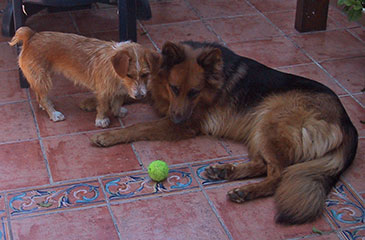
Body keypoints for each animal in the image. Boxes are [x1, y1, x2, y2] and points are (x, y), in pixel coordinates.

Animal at [9, 26, 159, 127]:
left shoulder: (120, 91)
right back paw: (54, 113)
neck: (117, 73)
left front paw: (117, 111)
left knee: (39, 94)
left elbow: (117, 103)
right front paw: (101, 120)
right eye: (129, 75)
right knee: (42, 96)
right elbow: (103, 106)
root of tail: (31, 35)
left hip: (41, 77)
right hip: (42, 77)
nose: (139, 96)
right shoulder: (103, 91)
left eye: (145, 74)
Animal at [89, 41, 356, 225]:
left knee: (278, 174)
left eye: (194, 92)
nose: (177, 119)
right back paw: (225, 171)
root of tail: (347, 123)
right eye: (174, 88)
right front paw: (94, 103)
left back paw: (246, 191)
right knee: (262, 164)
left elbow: (140, 126)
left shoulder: (185, 124)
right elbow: (132, 93)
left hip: (270, 119)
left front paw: (108, 136)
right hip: (259, 127)